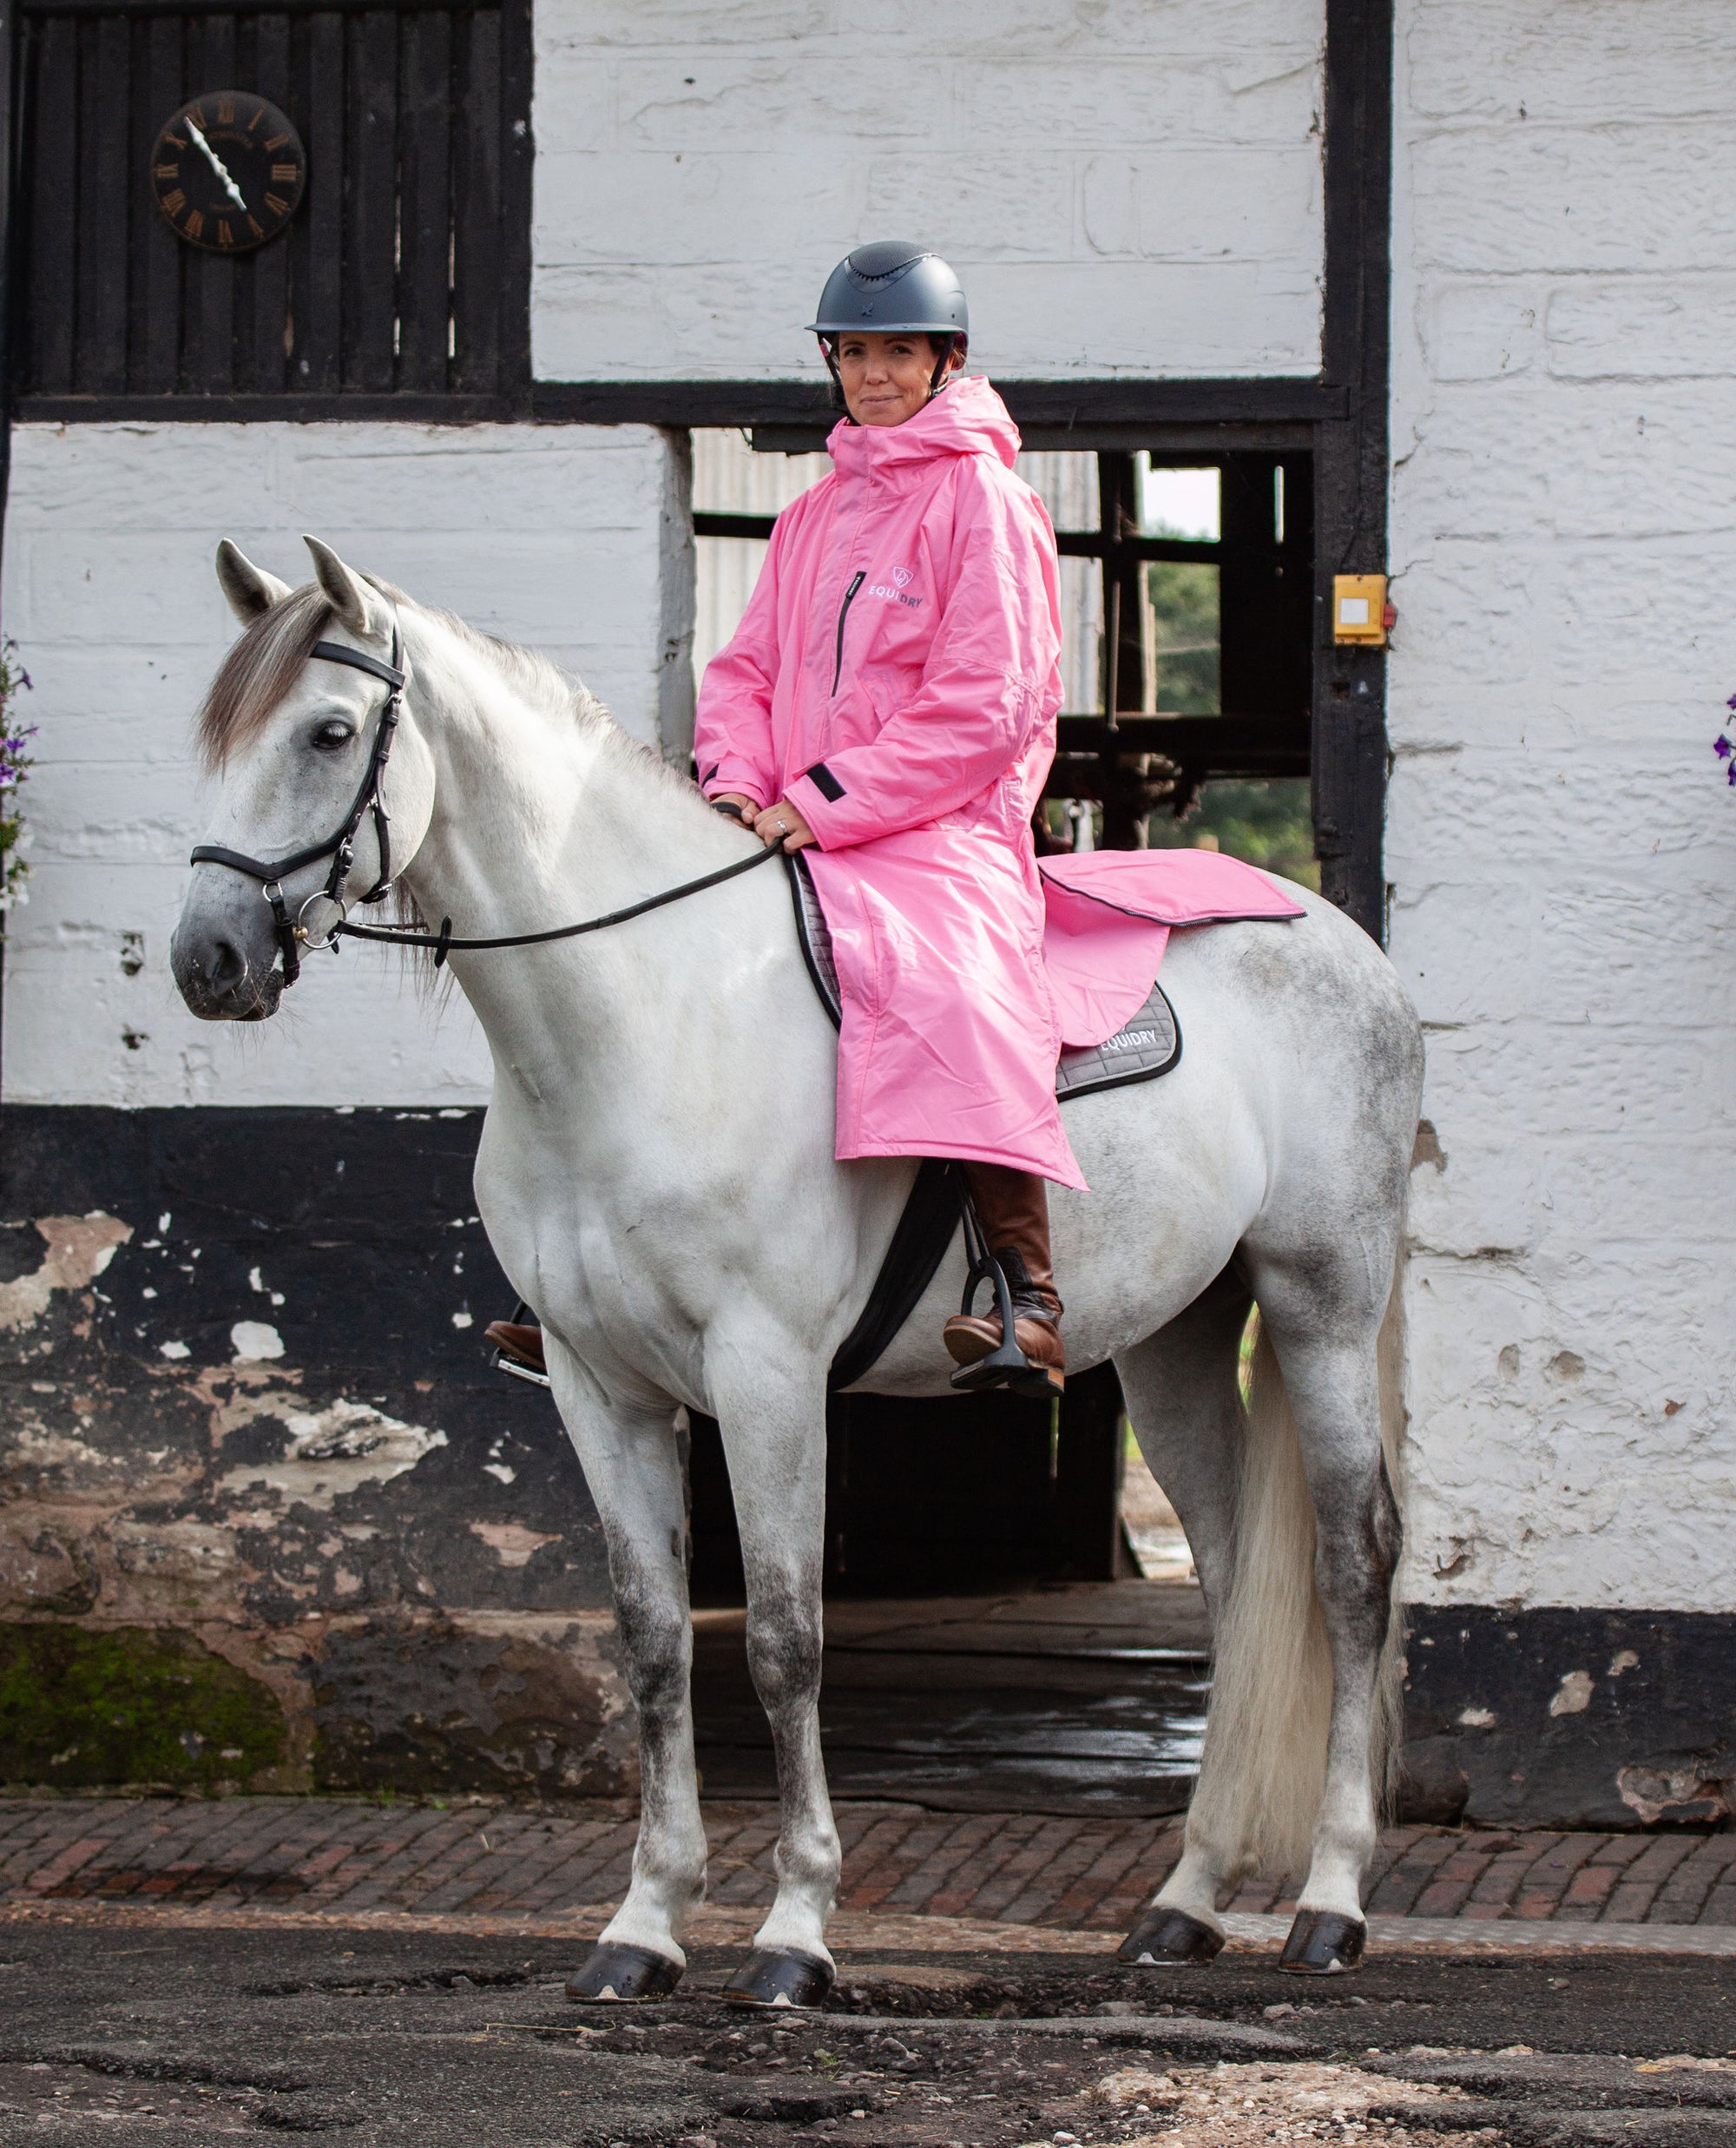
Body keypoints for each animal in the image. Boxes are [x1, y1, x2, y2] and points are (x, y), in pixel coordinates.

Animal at [173, 532, 1426, 1993]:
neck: (647, 1018)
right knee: (1232, 1581)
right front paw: (643, 1923)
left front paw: (794, 1930)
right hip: (1174, 1339)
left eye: (328, 730)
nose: (208, 959)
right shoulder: (599, 1388)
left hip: (1320, 1303)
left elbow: (783, 1642)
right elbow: (655, 1645)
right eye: (220, 737)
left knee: (1350, 1564)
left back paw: (1330, 1901)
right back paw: (1188, 1897)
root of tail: (1339, 939)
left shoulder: (765, 1376)